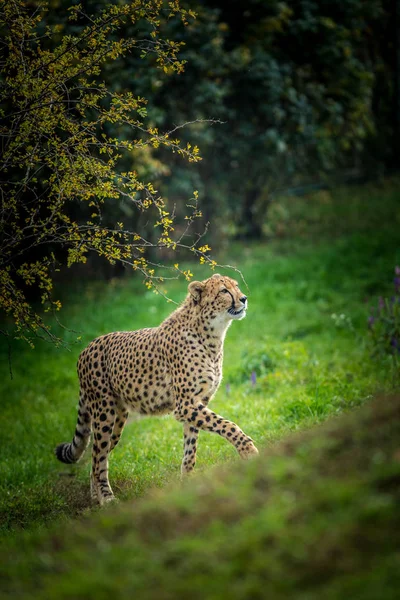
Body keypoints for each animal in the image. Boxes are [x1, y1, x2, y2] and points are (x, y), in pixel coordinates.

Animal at [56, 274, 260, 504]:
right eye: (224, 291)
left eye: (237, 286)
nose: (243, 298)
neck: (212, 334)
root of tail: (86, 348)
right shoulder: (185, 405)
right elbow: (227, 425)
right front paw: (248, 449)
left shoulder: (198, 403)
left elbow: (191, 449)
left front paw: (187, 484)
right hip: (104, 413)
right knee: (98, 458)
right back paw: (107, 499)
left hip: (118, 418)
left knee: (96, 456)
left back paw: (96, 499)